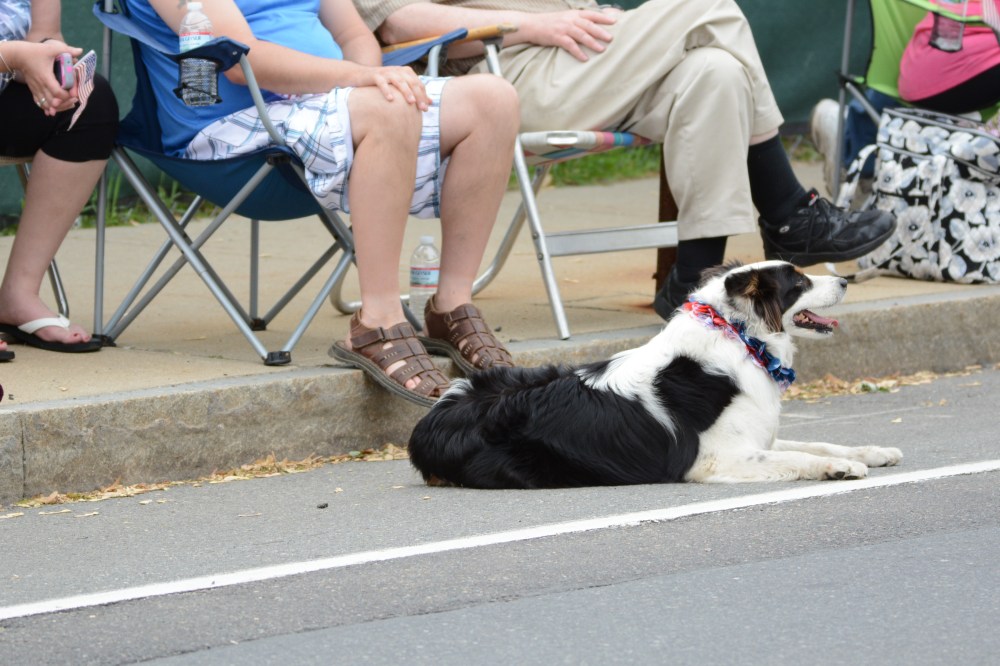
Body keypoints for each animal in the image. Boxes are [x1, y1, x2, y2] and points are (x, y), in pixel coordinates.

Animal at [407, 260, 903, 488]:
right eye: (799, 282)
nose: (846, 281)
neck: (740, 336)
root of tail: (434, 415)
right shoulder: (715, 459)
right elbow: (800, 457)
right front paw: (841, 468)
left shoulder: (758, 436)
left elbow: (819, 442)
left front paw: (873, 452)